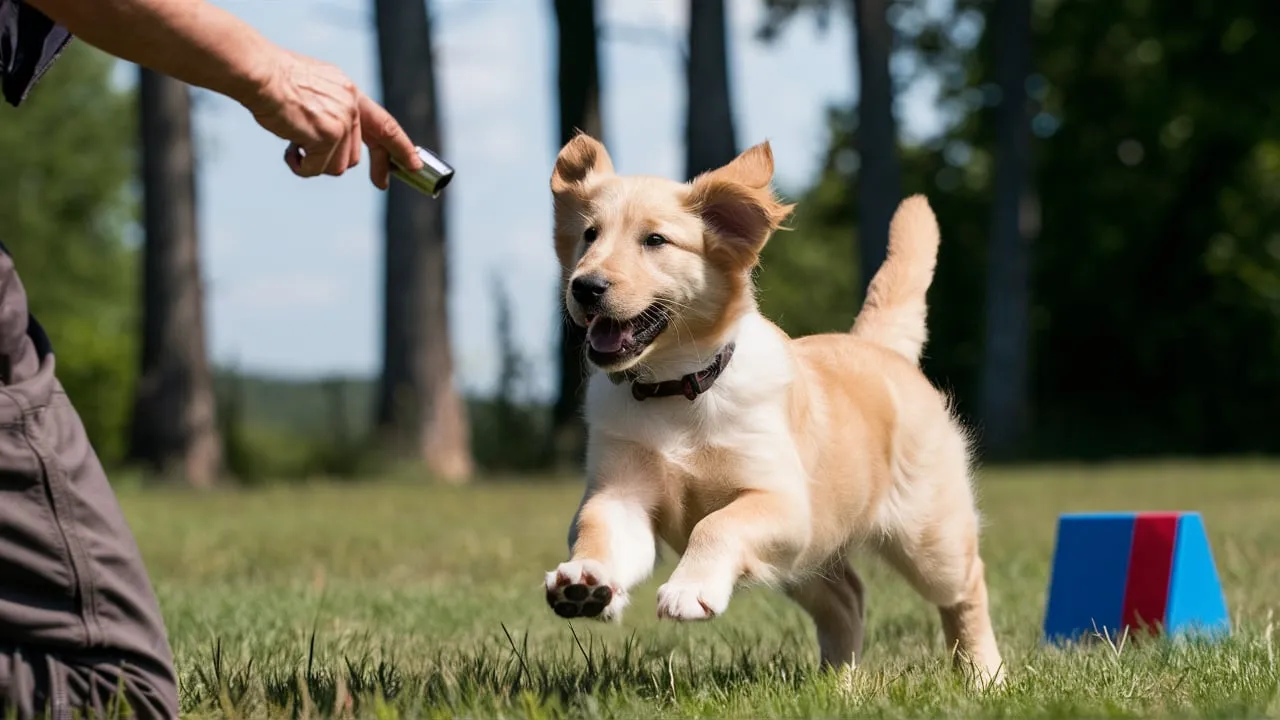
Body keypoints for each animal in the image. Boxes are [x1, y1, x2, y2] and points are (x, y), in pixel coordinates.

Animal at [537, 131, 998, 681]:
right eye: (589, 235)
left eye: (655, 241)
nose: (585, 286)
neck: (676, 386)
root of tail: (877, 345)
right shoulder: (619, 492)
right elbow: (597, 527)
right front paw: (584, 581)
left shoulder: (784, 502)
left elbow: (717, 523)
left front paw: (689, 590)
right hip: (803, 561)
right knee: (848, 597)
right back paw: (839, 684)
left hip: (927, 535)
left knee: (965, 585)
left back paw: (984, 675)